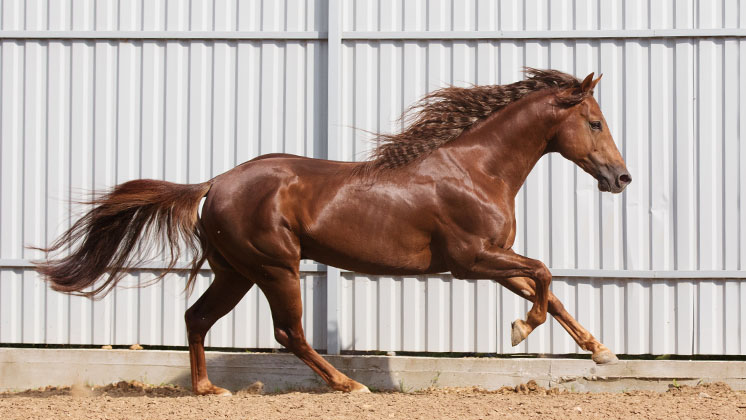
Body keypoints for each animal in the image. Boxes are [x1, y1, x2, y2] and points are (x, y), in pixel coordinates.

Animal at [36, 68, 631, 395]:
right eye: (595, 122)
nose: (621, 178)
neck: (476, 169)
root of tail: (214, 184)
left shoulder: (493, 257)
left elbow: (549, 291)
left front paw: (602, 353)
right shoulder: (472, 260)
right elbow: (545, 276)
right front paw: (519, 330)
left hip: (236, 272)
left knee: (197, 318)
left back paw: (209, 390)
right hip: (276, 267)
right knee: (288, 333)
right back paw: (350, 384)